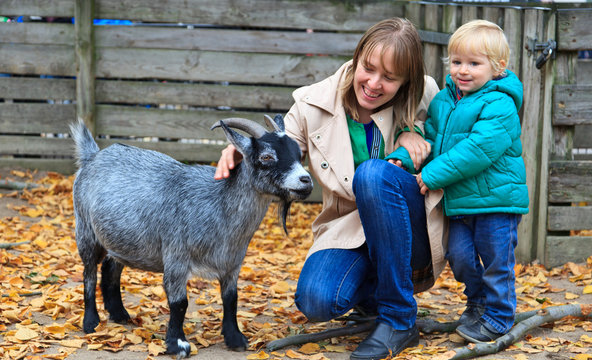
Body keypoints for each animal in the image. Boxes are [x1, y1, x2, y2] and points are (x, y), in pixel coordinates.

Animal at [70, 116, 314, 358]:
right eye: (266, 156)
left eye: (298, 153)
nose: (306, 180)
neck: (217, 204)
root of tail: (92, 156)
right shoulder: (176, 257)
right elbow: (180, 303)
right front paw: (177, 344)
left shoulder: (232, 263)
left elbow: (231, 299)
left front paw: (235, 338)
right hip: (85, 230)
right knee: (89, 273)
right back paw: (91, 322)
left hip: (122, 237)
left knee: (111, 268)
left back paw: (119, 314)